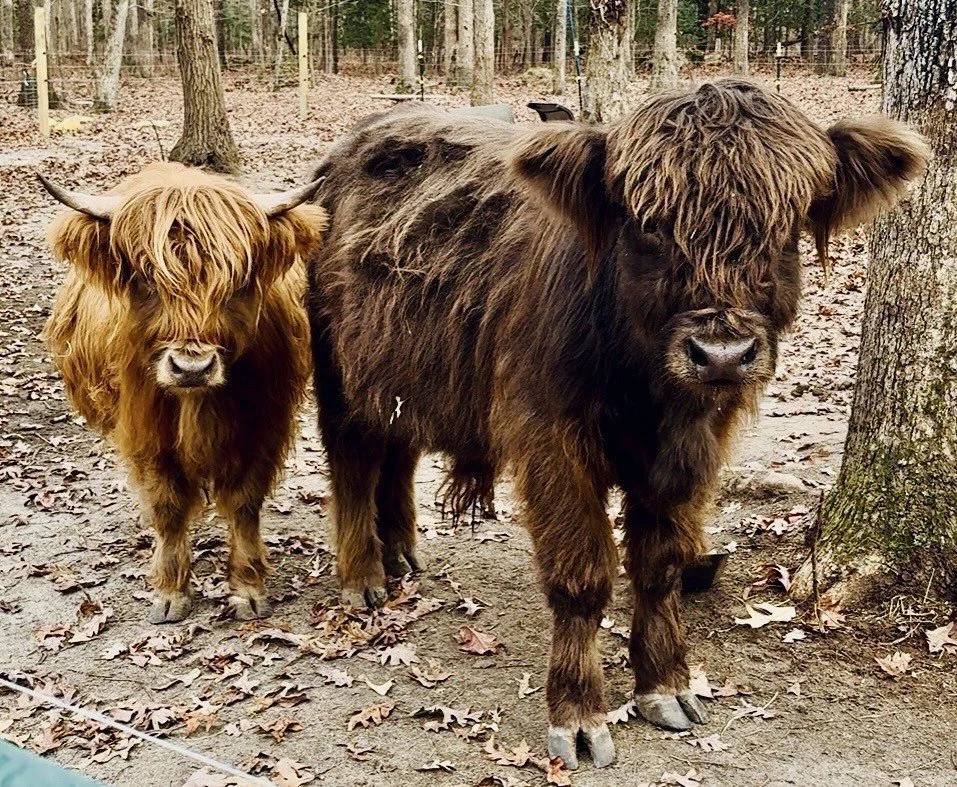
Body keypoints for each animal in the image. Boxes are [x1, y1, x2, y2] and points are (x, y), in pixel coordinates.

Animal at [40, 162, 327, 624]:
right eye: (144, 278)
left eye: (238, 281)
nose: (192, 368)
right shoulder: (148, 434)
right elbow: (168, 505)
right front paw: (170, 591)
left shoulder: (262, 427)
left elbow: (244, 502)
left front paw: (248, 587)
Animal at [305, 80, 928, 768]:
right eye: (648, 223)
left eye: (785, 225)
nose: (721, 354)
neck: (646, 382)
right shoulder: (553, 442)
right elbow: (583, 574)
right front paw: (579, 717)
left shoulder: (692, 451)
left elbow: (661, 565)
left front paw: (667, 687)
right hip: (338, 373)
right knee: (352, 464)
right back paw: (363, 578)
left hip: (402, 376)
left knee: (398, 452)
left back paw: (401, 557)